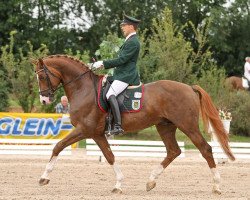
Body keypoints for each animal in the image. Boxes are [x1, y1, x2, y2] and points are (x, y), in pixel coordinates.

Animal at [33, 54, 234, 194]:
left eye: (42, 77)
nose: (44, 100)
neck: (84, 88)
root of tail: (190, 87)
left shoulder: (84, 130)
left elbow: (58, 146)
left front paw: (43, 178)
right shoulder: (96, 134)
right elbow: (109, 156)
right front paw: (118, 185)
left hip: (188, 126)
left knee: (205, 149)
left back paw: (217, 187)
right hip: (165, 126)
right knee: (173, 151)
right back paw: (151, 181)